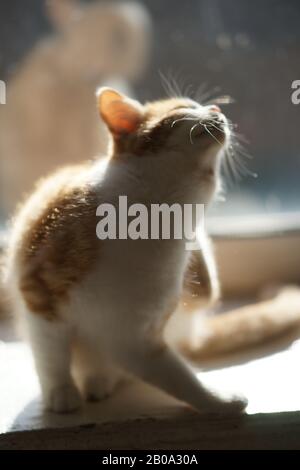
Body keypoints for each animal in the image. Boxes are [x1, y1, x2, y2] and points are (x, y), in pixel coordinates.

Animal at [4, 86, 247, 414]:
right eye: (185, 107)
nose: (216, 109)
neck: (159, 218)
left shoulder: (136, 339)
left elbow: (181, 378)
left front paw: (218, 401)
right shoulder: (40, 294)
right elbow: (52, 355)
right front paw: (61, 392)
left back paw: (100, 380)